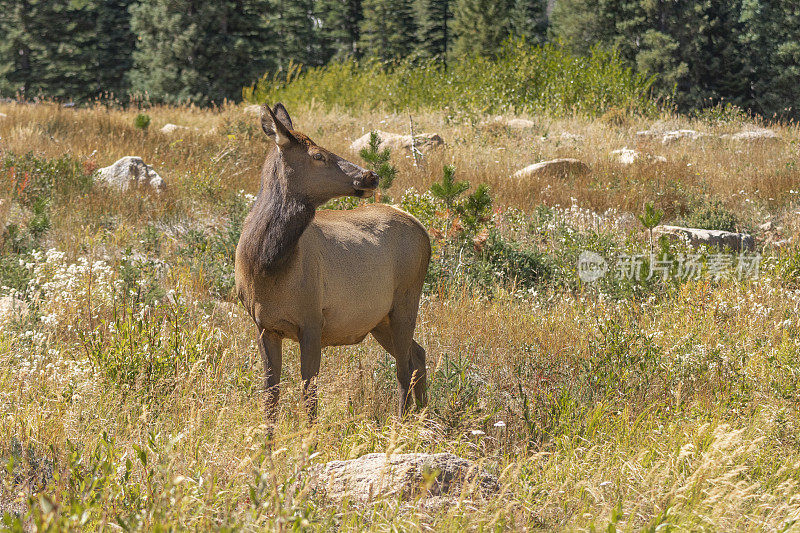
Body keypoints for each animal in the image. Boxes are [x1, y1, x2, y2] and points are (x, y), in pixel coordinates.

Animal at [234, 103, 428, 428]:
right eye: (318, 155)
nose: (371, 175)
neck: (267, 266)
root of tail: (423, 230)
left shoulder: (312, 320)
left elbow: (309, 393)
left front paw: (310, 439)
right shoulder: (263, 326)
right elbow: (270, 394)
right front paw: (267, 441)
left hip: (406, 299)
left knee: (403, 369)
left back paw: (402, 425)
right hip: (380, 319)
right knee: (418, 355)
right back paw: (425, 418)